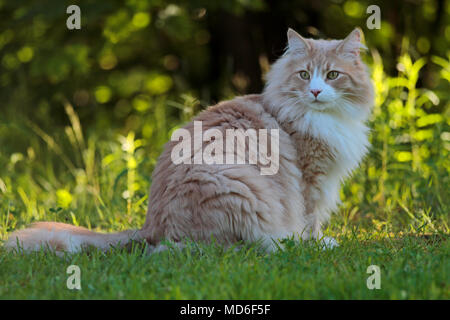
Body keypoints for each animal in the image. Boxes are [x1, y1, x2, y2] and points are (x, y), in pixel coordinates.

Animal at [5, 28, 374, 255]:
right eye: (304, 75)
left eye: (332, 75)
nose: (316, 91)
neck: (321, 117)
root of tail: (149, 228)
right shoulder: (311, 181)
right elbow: (309, 220)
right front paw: (317, 244)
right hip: (239, 185)